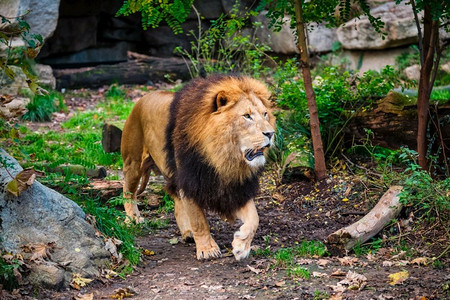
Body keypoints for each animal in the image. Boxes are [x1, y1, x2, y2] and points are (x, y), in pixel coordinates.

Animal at [119, 75, 274, 260]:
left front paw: (241, 246)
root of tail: (141, 99)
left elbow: (254, 218)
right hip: (133, 162)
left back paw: (187, 232)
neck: (223, 157)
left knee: (176, 198)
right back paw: (133, 219)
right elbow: (199, 220)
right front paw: (208, 249)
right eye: (247, 116)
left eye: (265, 114)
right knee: (128, 191)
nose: (271, 133)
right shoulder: (190, 181)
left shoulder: (235, 188)